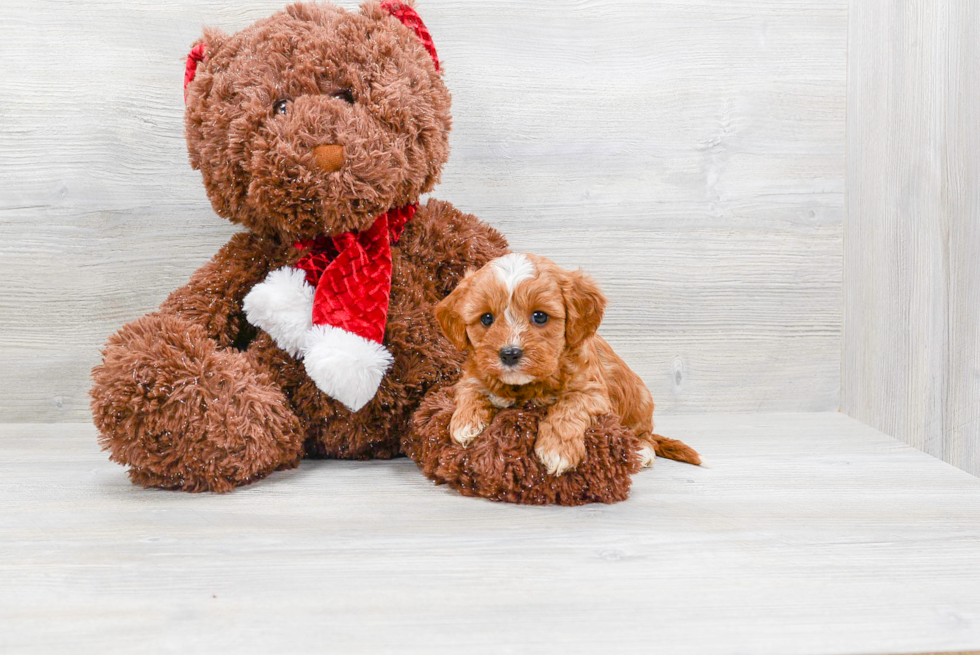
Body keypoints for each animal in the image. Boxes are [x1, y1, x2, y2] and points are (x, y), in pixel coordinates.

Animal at [434, 254, 696, 474]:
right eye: (486, 318)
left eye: (540, 316)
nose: (510, 354)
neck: (524, 387)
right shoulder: (473, 372)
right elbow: (469, 390)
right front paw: (465, 421)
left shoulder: (592, 391)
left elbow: (568, 407)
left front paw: (557, 451)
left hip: (640, 403)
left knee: (645, 435)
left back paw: (642, 451)